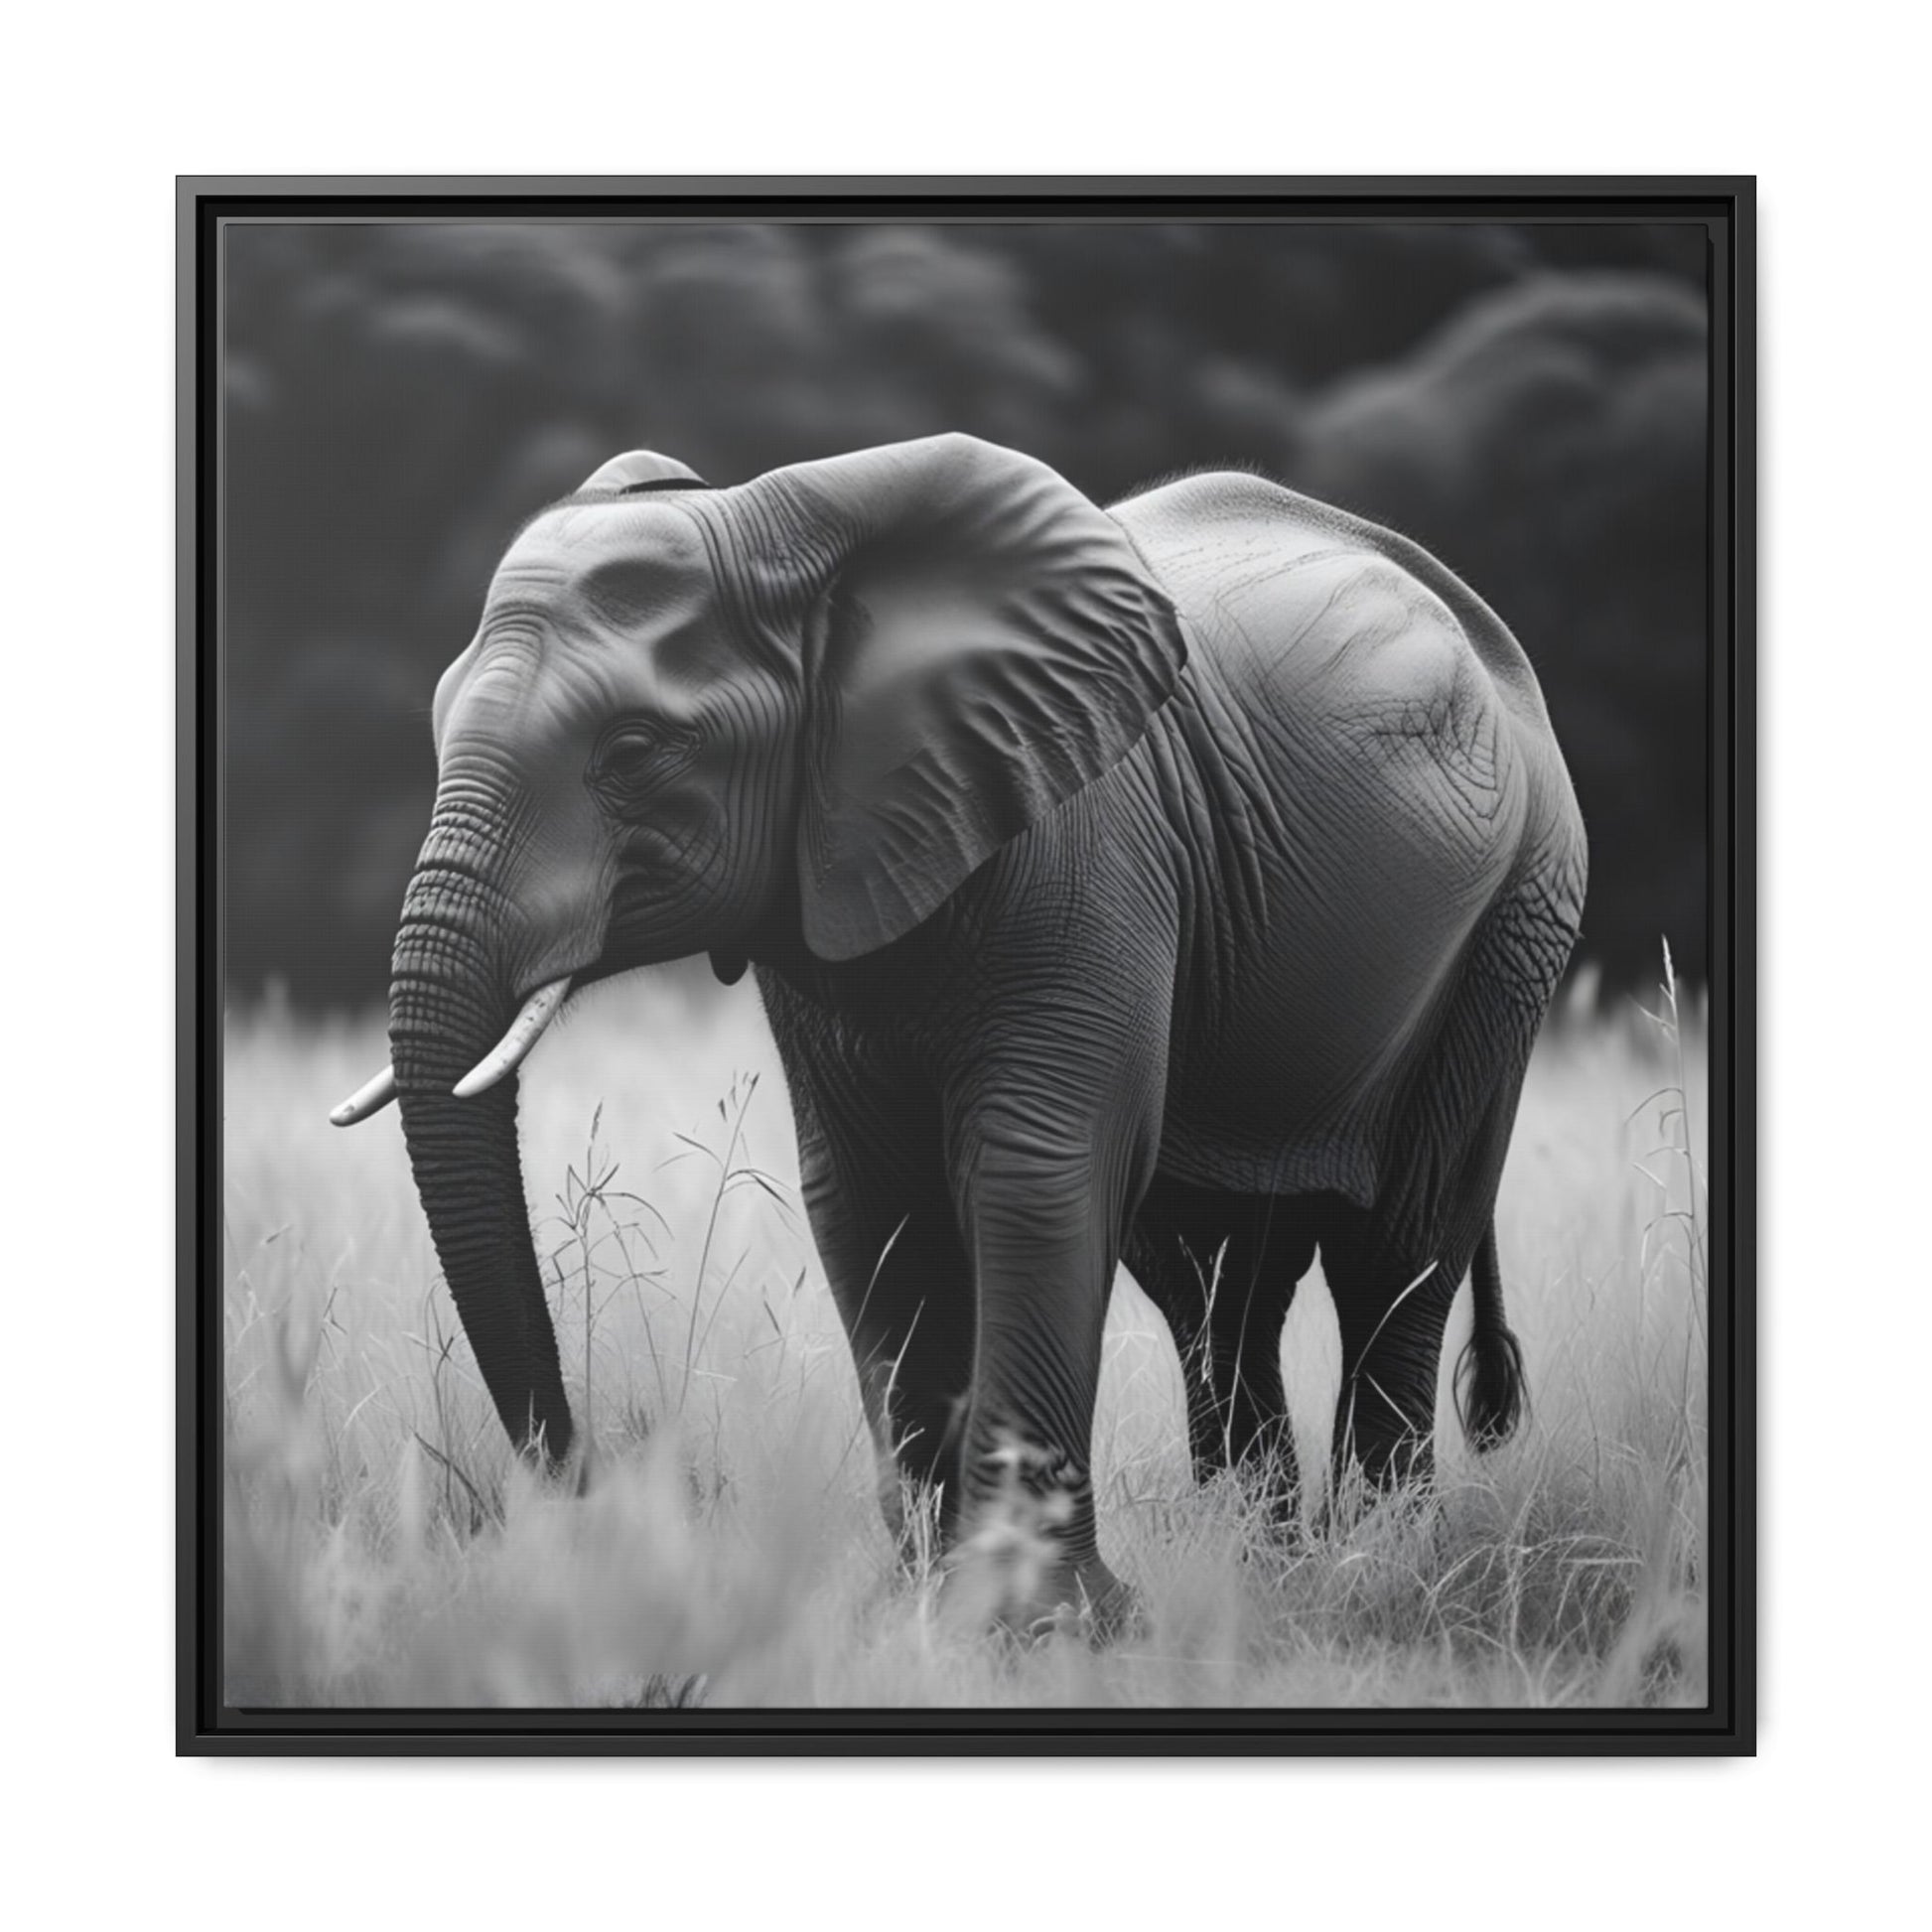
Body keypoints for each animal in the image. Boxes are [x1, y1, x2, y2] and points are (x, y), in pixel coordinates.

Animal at [333, 433, 1587, 1634]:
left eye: (634, 750)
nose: (599, 1498)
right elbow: (865, 1198)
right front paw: (921, 1606)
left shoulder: (1086, 846)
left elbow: (1034, 1172)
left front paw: (1038, 1627)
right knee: (1212, 1277)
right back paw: (1259, 1564)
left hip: (1516, 918)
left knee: (1398, 1245)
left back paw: (1375, 1567)